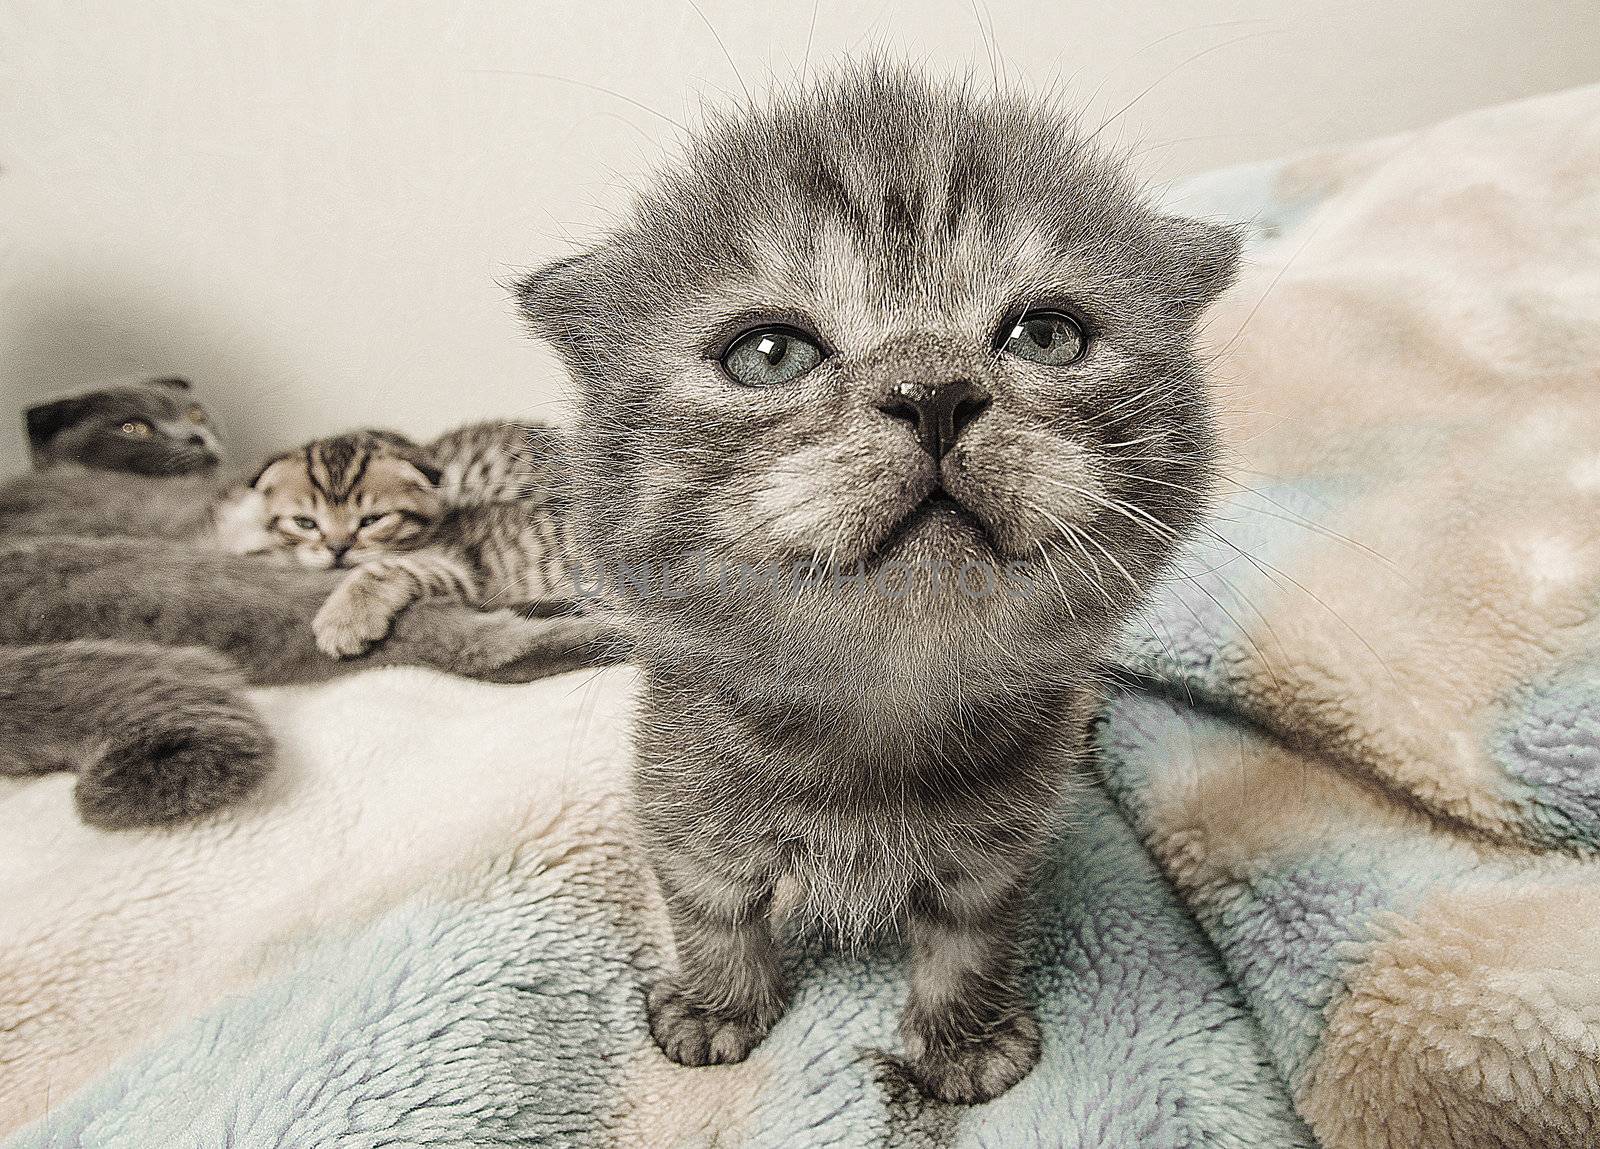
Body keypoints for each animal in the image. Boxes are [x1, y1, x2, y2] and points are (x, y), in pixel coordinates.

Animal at [246, 422, 579, 656]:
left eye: (371, 521)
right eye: (305, 523)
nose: (337, 549)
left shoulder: (464, 567)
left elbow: (386, 568)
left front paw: (343, 622)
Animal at [518, 63, 1241, 1107]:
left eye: (1047, 335)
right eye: (768, 353)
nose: (933, 392)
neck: (877, 721)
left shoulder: (1000, 848)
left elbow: (971, 939)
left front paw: (963, 1040)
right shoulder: (680, 798)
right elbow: (708, 908)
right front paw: (717, 1006)